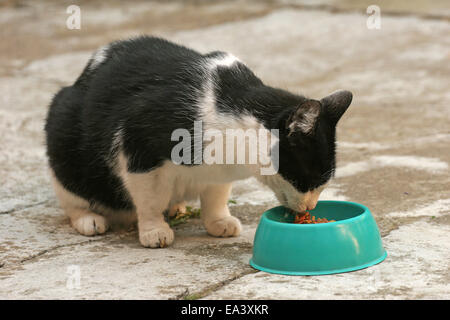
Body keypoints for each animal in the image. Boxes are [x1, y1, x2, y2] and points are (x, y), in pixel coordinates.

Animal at [45, 35, 354, 248]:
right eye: (309, 180)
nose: (310, 208)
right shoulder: (136, 144)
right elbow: (149, 198)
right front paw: (154, 229)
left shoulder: (220, 171)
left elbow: (216, 194)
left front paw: (218, 221)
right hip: (63, 129)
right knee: (73, 196)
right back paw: (89, 219)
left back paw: (177, 206)